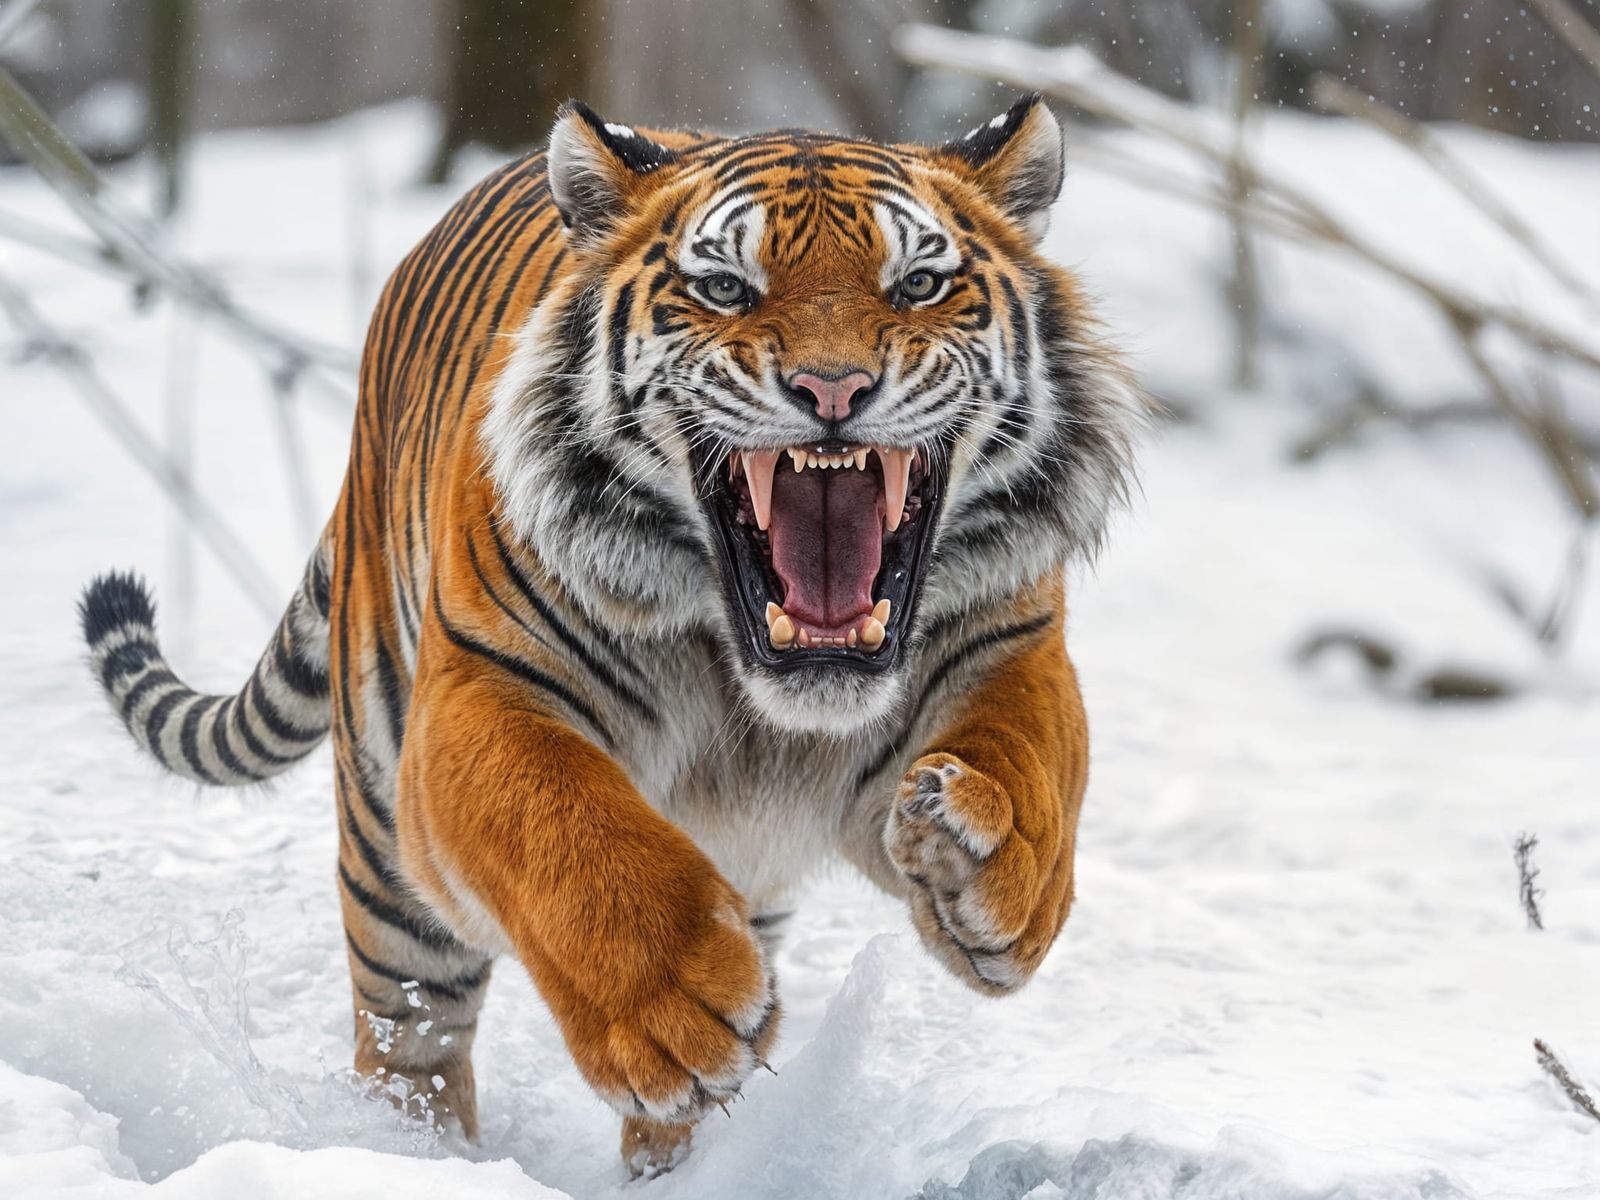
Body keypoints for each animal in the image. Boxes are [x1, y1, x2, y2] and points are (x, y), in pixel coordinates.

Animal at [78, 93, 1144, 1176]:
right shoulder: (484, 689)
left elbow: (1030, 762)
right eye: (725, 288)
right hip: (386, 846)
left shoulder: (1011, 643)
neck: (756, 691)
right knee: (409, 1034)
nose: (834, 391)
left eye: (920, 284)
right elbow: (569, 829)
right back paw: (409, 1154)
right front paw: (677, 1010)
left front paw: (985, 867)